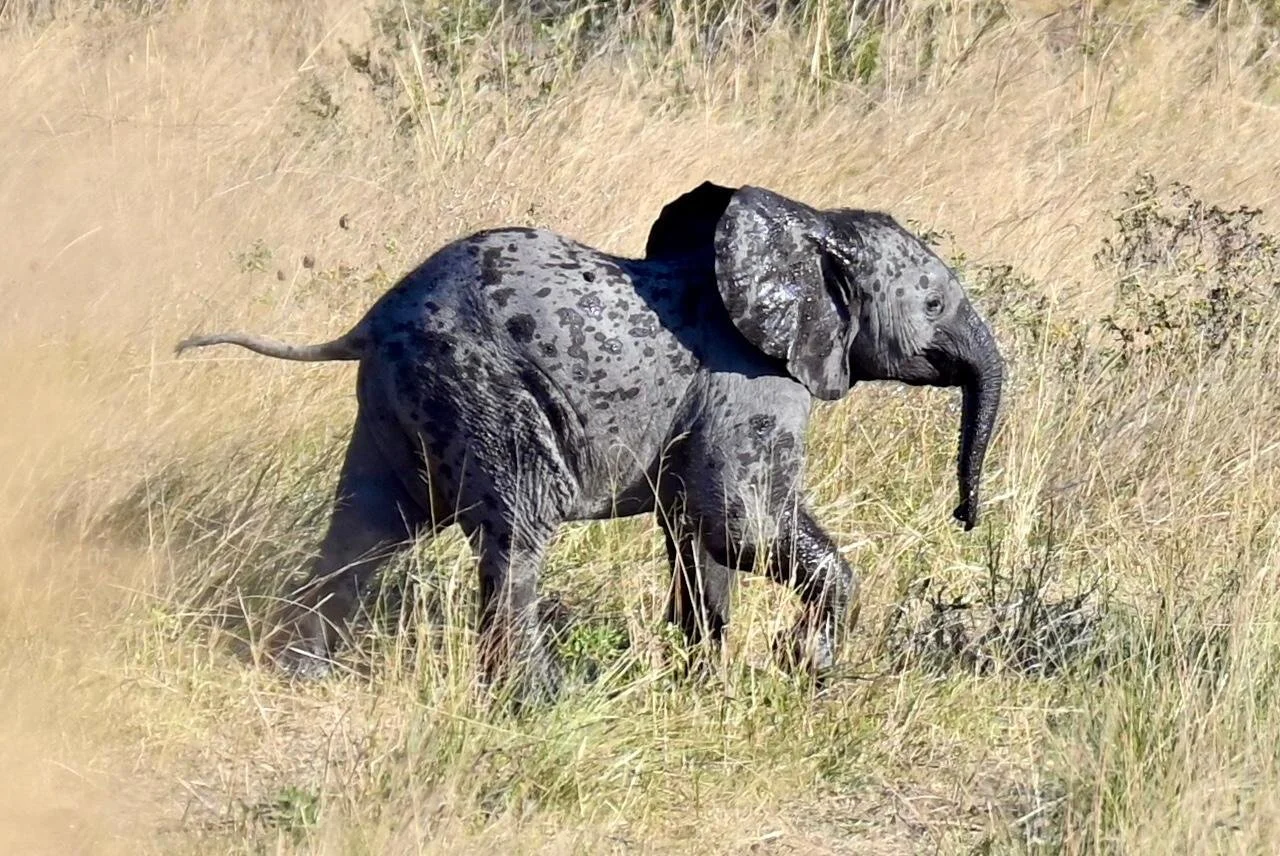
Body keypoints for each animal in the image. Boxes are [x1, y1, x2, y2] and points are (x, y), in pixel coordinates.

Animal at [175, 181, 1003, 698]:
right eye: (935, 303)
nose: (964, 517)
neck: (809, 225)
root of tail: (371, 319)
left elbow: (699, 537)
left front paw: (702, 685)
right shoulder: (752, 380)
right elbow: (739, 523)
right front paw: (807, 673)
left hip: (398, 398)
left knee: (364, 524)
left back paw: (299, 675)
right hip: (484, 387)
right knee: (515, 532)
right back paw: (539, 701)